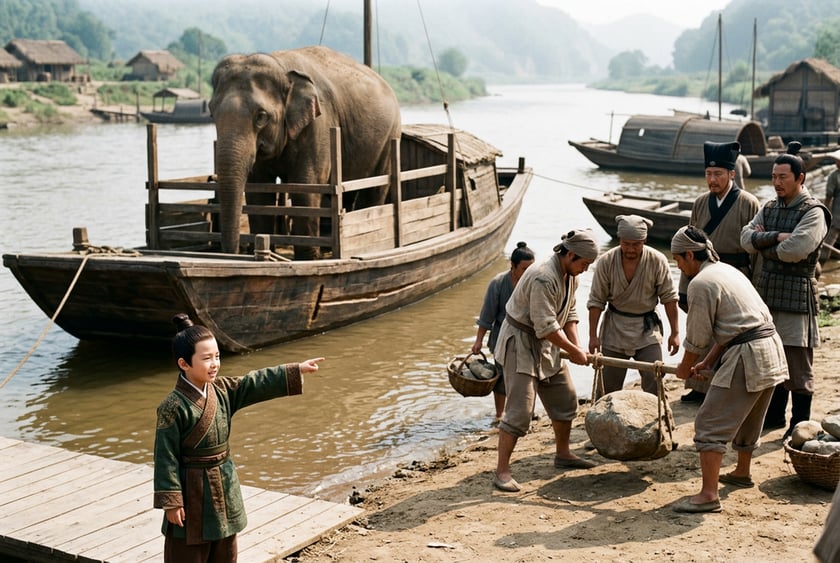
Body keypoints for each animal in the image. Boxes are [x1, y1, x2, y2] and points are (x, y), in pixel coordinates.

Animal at [208, 45, 402, 259]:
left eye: (261, 116)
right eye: (211, 112)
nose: (231, 254)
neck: (280, 65)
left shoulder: (320, 124)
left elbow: (305, 187)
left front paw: (307, 259)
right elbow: (258, 191)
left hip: (390, 136)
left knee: (375, 189)